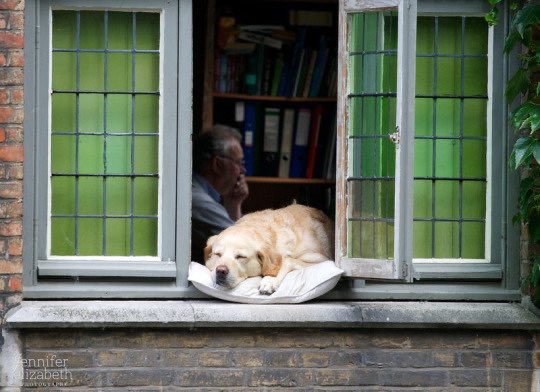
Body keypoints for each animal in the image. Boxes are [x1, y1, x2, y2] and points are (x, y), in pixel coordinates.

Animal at [204, 205, 334, 294]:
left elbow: (288, 261)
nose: (220, 271)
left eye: (240, 257)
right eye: (217, 254)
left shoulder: (322, 259)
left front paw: (270, 280)